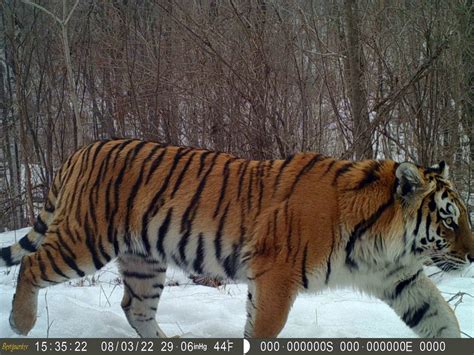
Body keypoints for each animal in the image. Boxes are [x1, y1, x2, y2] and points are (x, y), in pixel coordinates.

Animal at [0, 139, 472, 340]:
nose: (472, 256)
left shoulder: (399, 278)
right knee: (32, 265)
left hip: (143, 260)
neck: (382, 243)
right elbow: (263, 329)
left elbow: (441, 317)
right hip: (86, 240)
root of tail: (82, 148)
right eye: (449, 220)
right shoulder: (276, 275)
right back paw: (21, 324)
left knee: (136, 309)